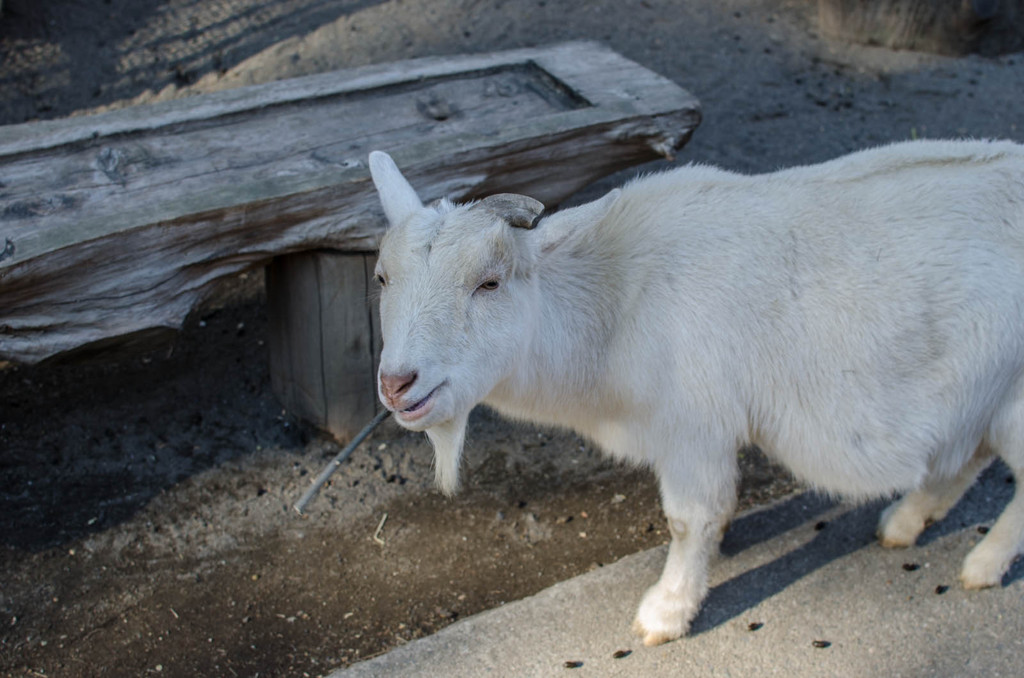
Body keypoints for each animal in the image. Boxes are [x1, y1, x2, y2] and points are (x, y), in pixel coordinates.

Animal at [366, 142, 1024, 647]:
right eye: (382, 277)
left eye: (490, 282)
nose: (398, 384)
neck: (615, 299)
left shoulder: (693, 423)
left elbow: (690, 518)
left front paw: (666, 612)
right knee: (967, 456)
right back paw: (906, 522)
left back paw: (982, 565)